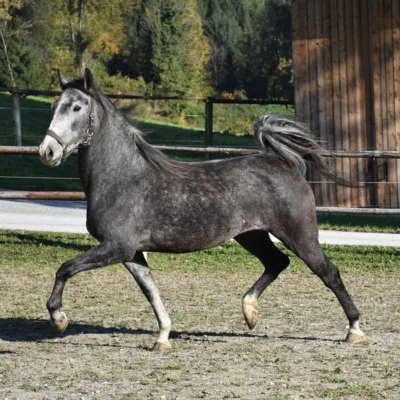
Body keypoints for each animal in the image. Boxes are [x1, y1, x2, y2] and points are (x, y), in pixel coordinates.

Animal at [39, 69, 364, 354]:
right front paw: (163, 338)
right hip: (252, 235)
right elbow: (151, 290)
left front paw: (59, 319)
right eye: (54, 106)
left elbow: (65, 268)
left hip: (299, 235)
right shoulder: (130, 252)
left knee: (328, 273)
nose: (47, 151)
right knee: (277, 262)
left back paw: (355, 330)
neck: (122, 178)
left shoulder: (117, 247)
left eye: (77, 107)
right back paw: (250, 312)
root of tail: (285, 163)